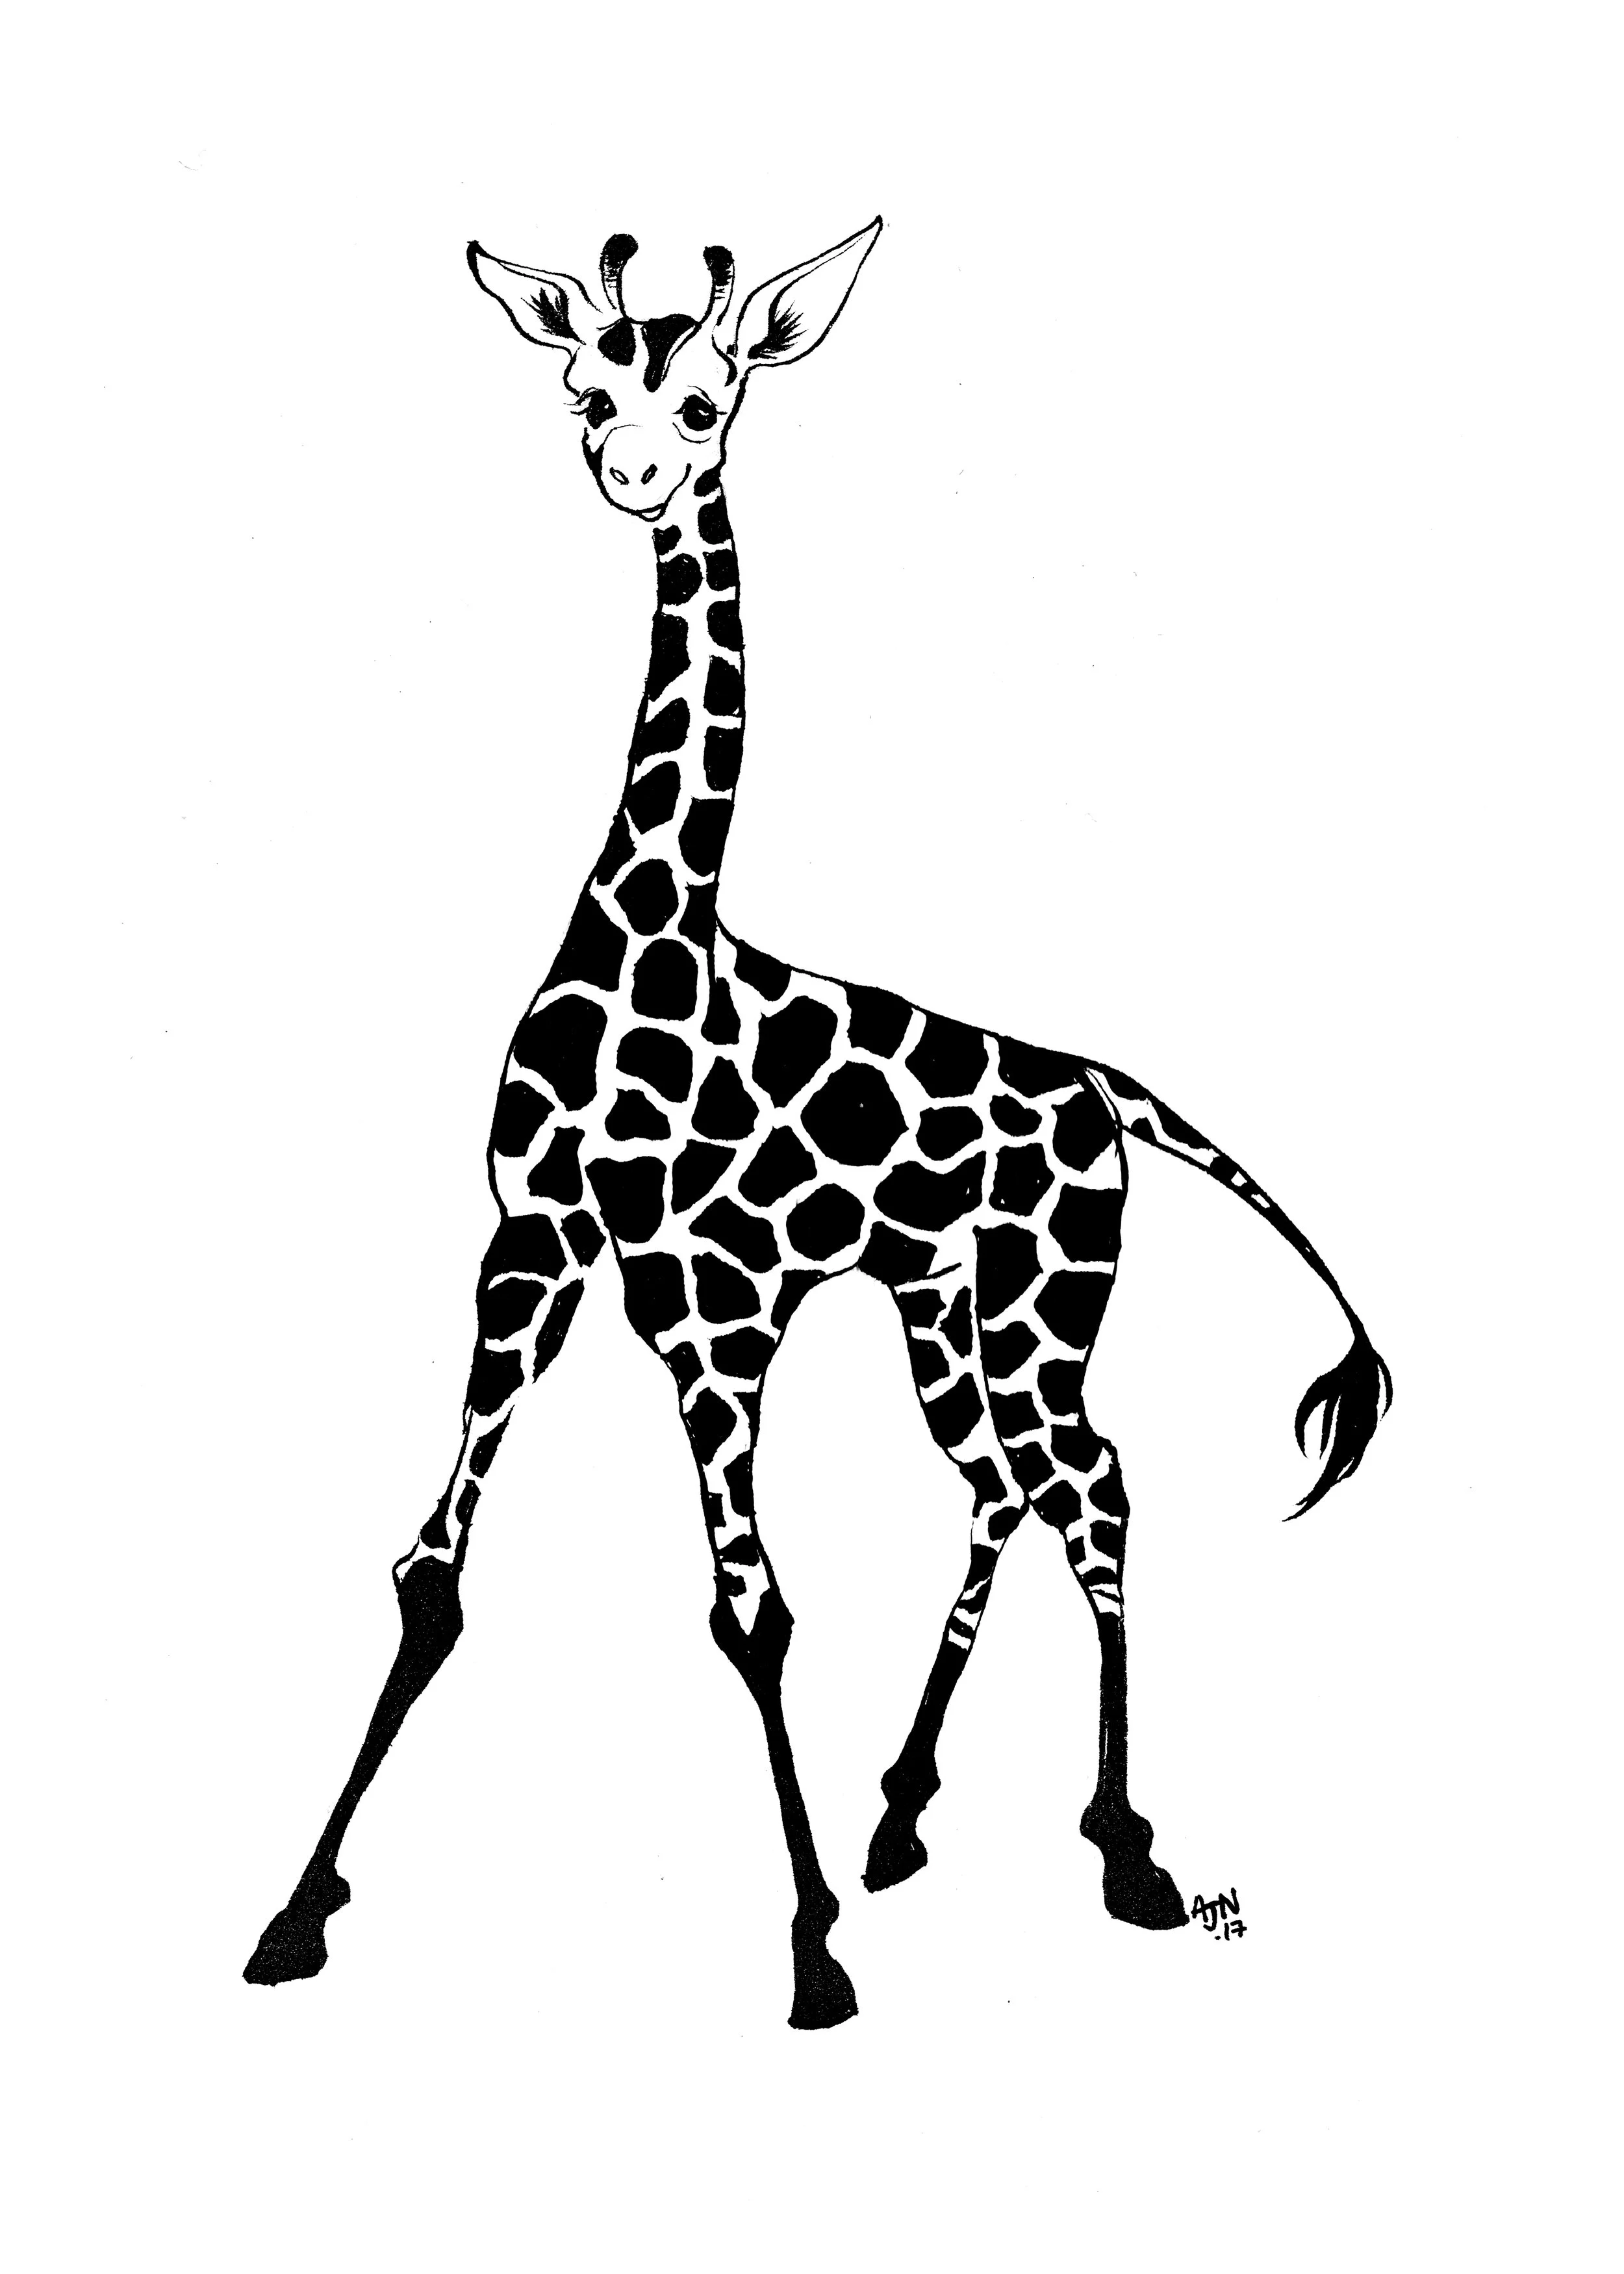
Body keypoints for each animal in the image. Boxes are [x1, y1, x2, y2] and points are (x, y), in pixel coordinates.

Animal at [245, 218, 1392, 2028]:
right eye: (589, 388)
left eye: (707, 398)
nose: (635, 475)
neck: (661, 929)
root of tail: (1108, 1090)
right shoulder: (533, 1253)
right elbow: (432, 1576)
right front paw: (295, 1913)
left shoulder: (716, 1308)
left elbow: (754, 1612)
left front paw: (811, 1958)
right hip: (944, 1315)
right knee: (1008, 1486)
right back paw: (905, 1812)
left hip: (1046, 1305)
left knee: (1094, 1482)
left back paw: (1124, 1852)